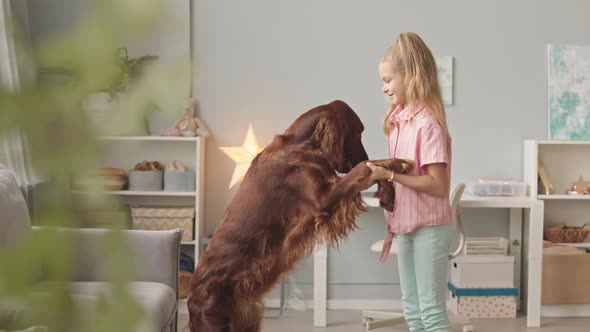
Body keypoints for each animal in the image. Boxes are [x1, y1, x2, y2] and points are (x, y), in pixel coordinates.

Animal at [188, 100, 412, 330]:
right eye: (357, 131)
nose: (363, 155)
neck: (300, 144)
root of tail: (190, 295)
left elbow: (373, 166)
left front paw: (389, 192)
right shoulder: (322, 199)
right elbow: (366, 167)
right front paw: (395, 165)